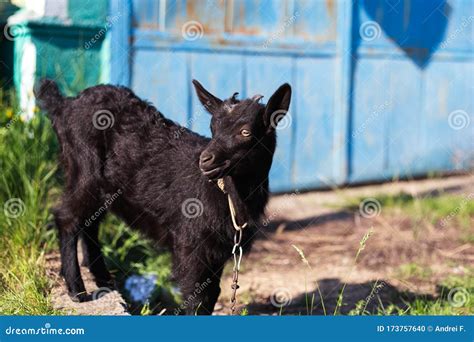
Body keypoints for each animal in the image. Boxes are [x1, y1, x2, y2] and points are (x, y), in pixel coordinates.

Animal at [35, 79, 290, 314]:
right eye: (213, 127)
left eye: (246, 131)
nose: (205, 161)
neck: (228, 195)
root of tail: (65, 105)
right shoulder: (191, 245)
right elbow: (197, 297)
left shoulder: (217, 251)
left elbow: (211, 295)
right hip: (84, 170)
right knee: (67, 217)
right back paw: (77, 290)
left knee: (90, 222)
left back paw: (103, 279)